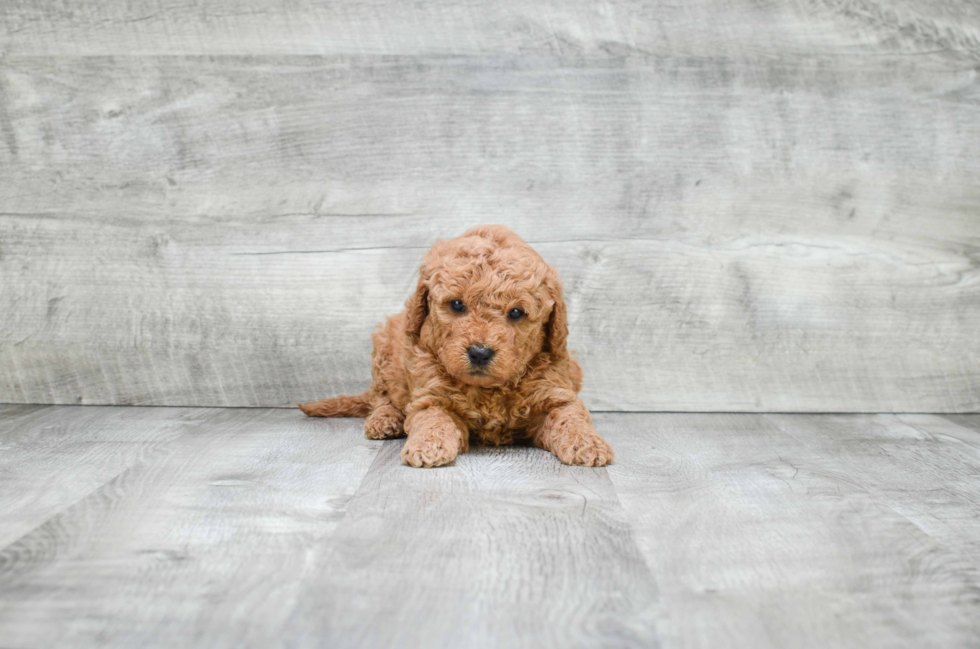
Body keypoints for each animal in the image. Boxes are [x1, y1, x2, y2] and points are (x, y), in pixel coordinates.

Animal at [302, 224, 616, 466]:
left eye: (516, 312)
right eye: (456, 305)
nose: (479, 353)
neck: (490, 390)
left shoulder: (556, 391)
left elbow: (571, 417)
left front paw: (588, 443)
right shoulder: (431, 395)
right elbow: (432, 418)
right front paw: (428, 445)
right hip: (385, 347)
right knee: (381, 396)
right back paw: (384, 420)